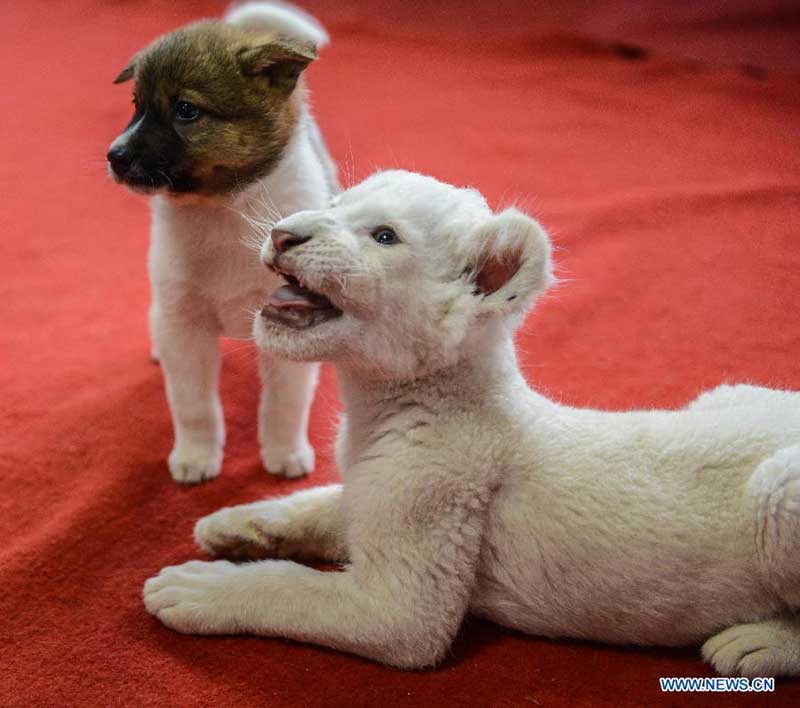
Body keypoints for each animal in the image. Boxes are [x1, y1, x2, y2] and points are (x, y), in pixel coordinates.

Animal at [107, 0, 338, 484]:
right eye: (136, 105)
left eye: (186, 110)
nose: (114, 157)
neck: (226, 208)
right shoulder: (186, 325)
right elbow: (194, 404)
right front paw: (196, 456)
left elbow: (285, 403)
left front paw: (285, 452)